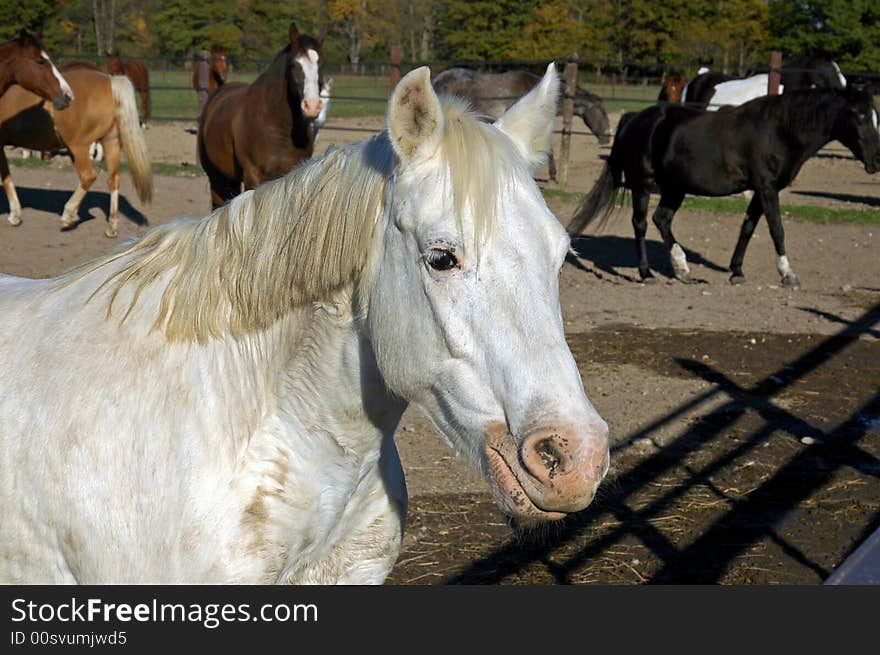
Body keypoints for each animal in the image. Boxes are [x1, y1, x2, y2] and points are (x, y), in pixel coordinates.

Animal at [0, 66, 152, 240]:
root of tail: (110, 81)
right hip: (110, 141)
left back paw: (68, 215)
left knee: (88, 176)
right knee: (113, 179)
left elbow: (5, 177)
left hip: (78, 147)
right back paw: (110, 228)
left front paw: (14, 216)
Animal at [568, 85, 876, 288]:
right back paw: (647, 274)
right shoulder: (767, 189)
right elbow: (777, 229)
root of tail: (635, 118)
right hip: (643, 185)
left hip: (675, 188)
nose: (875, 161)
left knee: (662, 219)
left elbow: (748, 228)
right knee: (641, 224)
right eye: (858, 115)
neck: (779, 131)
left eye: (874, 114)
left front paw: (736, 271)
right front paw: (788, 274)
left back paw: (683, 270)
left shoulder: (760, 190)